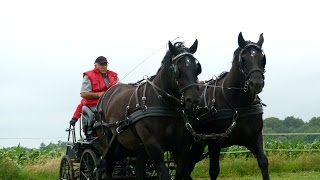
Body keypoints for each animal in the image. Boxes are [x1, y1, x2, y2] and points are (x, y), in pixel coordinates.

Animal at [96, 39, 202, 180]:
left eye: (197, 68)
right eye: (176, 69)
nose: (193, 99)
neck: (165, 105)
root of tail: (106, 94)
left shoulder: (181, 146)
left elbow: (181, 172)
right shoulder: (153, 145)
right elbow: (164, 174)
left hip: (140, 146)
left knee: (139, 170)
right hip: (107, 144)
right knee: (108, 167)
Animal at [189, 32, 268, 180]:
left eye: (263, 58)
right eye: (243, 59)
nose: (257, 83)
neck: (238, 106)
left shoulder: (254, 138)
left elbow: (263, 161)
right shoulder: (213, 142)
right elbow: (214, 171)